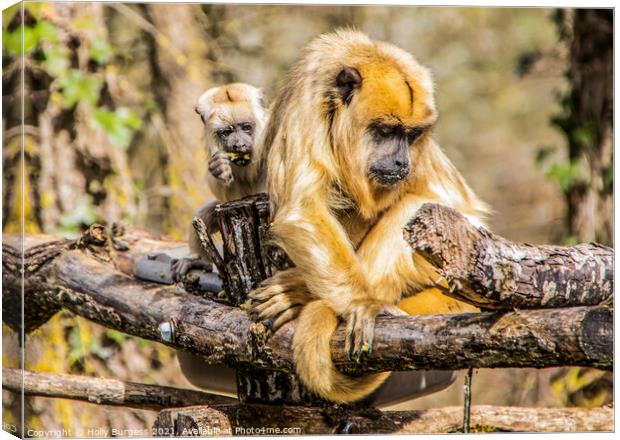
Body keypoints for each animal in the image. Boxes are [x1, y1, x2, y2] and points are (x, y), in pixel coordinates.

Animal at [171, 82, 268, 278]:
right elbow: (232, 196)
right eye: (226, 132)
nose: (239, 144)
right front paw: (219, 168)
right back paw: (198, 260)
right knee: (204, 214)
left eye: (246, 127)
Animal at [245, 29, 486, 404]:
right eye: (386, 131)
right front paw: (355, 299)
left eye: (410, 135)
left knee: (416, 207)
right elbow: (303, 209)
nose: (402, 161)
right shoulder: (307, 102)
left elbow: (462, 211)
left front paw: (358, 301)